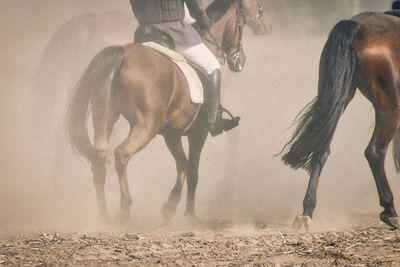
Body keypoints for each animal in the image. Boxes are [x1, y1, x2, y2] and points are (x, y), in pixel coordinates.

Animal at [67, 0, 258, 224]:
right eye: (242, 21)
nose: (241, 60)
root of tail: (122, 54)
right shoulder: (198, 133)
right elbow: (193, 171)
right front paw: (190, 215)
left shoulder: (172, 134)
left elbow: (182, 165)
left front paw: (169, 207)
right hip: (146, 126)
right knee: (122, 153)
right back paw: (125, 210)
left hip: (105, 117)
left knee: (99, 158)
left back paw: (104, 216)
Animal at [282, 11, 400, 230]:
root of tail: (358, 26)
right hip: (389, 106)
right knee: (374, 152)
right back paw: (390, 211)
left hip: (340, 96)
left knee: (321, 148)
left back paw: (307, 212)